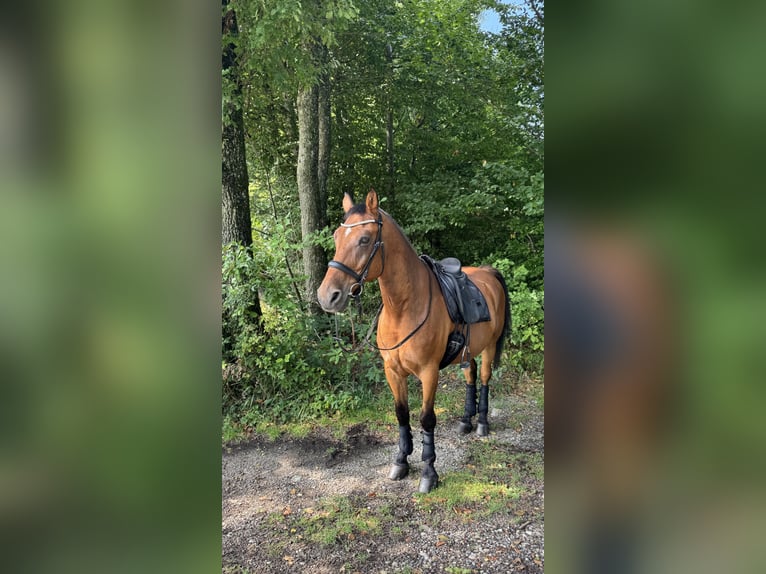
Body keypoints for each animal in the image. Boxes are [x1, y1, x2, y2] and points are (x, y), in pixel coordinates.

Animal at [317, 189, 510, 493]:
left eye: (364, 239)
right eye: (337, 236)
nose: (327, 296)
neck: (403, 308)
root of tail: (487, 272)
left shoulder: (429, 372)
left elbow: (426, 419)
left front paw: (429, 473)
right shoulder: (393, 372)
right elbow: (402, 414)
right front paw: (401, 462)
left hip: (490, 347)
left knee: (484, 378)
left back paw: (481, 423)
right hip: (468, 351)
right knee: (470, 376)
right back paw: (465, 422)